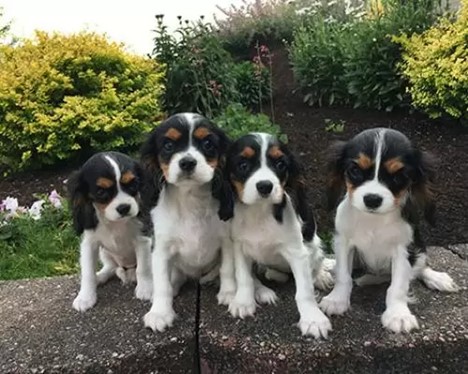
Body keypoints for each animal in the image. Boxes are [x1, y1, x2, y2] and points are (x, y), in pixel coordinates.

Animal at [67, 150, 153, 312]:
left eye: (133, 184)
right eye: (101, 192)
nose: (124, 207)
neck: (114, 223)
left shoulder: (143, 240)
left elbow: (143, 267)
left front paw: (145, 288)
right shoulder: (89, 244)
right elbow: (87, 272)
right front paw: (85, 297)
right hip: (105, 252)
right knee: (110, 267)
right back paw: (99, 277)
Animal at [139, 112, 234, 332]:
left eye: (207, 143)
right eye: (168, 145)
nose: (187, 162)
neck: (191, 198)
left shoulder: (227, 241)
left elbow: (227, 268)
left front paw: (229, 293)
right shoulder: (161, 249)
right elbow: (162, 283)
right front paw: (160, 313)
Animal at [227, 132, 332, 338]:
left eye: (280, 164)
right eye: (243, 165)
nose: (265, 186)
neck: (259, 212)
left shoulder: (297, 252)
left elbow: (304, 290)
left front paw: (313, 319)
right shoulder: (238, 246)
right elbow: (244, 277)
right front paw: (243, 302)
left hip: (314, 245)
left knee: (316, 263)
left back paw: (321, 276)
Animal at [320, 128, 458, 334]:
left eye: (398, 177)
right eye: (355, 171)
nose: (372, 199)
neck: (374, 219)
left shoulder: (404, 249)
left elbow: (398, 286)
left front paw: (398, 315)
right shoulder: (343, 242)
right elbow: (344, 275)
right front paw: (336, 300)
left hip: (419, 246)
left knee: (419, 267)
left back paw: (437, 278)